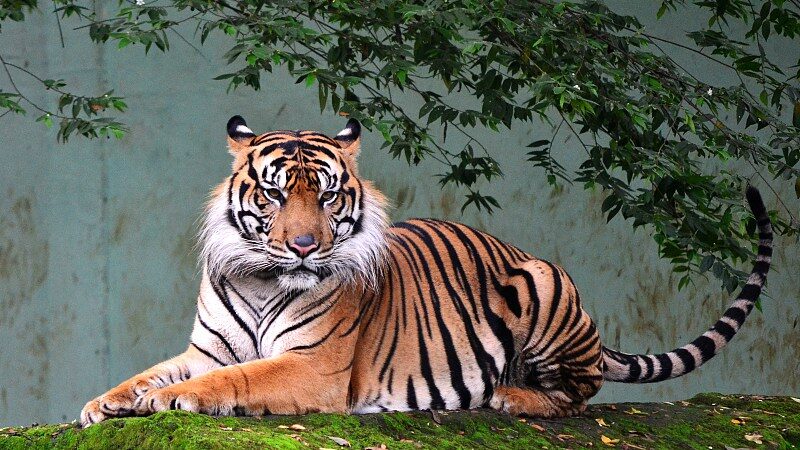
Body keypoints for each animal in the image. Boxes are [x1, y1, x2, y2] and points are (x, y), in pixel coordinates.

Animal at [80, 115, 773, 427]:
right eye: (275, 195)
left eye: (327, 197)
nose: (304, 247)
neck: (261, 277)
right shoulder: (207, 348)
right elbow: (154, 370)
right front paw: (103, 402)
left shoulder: (313, 367)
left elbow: (237, 379)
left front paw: (166, 400)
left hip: (545, 283)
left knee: (582, 391)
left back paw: (511, 394)